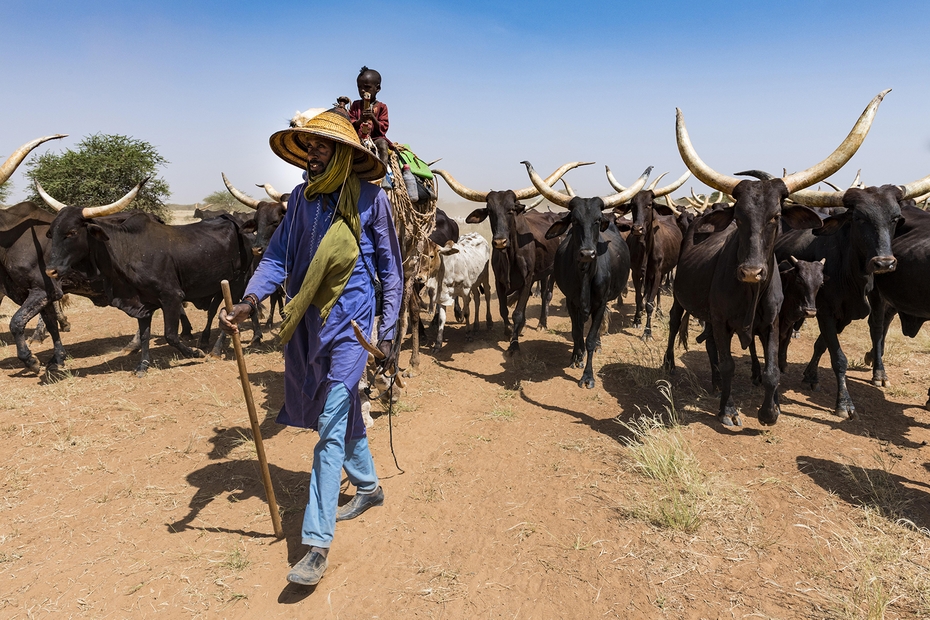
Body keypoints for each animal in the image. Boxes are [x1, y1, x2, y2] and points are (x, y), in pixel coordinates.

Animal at [436, 161, 588, 354]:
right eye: (490, 211)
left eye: (511, 210)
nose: (500, 241)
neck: (511, 256)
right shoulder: (500, 282)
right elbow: (503, 309)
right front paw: (509, 331)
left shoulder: (527, 280)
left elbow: (518, 312)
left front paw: (514, 343)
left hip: (551, 272)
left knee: (546, 294)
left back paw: (542, 323)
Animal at [664, 89, 888, 424]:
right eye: (738, 217)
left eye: (776, 216)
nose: (751, 272)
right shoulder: (721, 320)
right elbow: (729, 364)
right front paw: (728, 410)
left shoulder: (771, 323)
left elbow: (772, 371)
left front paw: (770, 411)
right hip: (681, 299)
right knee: (675, 323)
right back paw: (671, 364)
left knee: (711, 347)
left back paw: (715, 382)